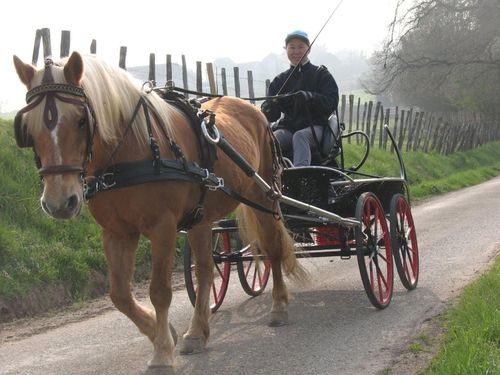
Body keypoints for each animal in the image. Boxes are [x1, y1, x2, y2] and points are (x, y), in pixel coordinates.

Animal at [11, 51, 306, 368]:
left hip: (263, 197)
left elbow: (160, 291)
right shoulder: (117, 233)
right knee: (205, 269)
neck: (133, 149)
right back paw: (196, 331)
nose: (58, 202)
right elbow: (120, 294)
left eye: (80, 120)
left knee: (273, 248)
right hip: (201, 218)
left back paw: (278, 306)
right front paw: (163, 333)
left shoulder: (162, 228)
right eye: (28, 127)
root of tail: (253, 110)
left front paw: (162, 351)